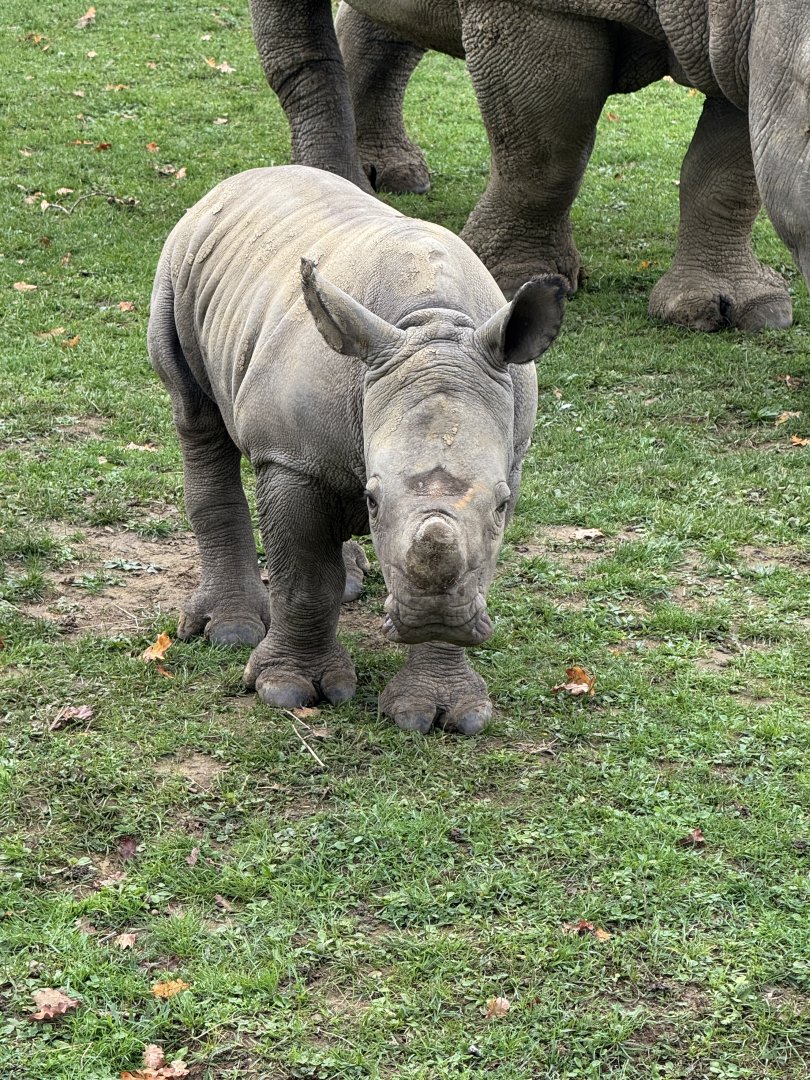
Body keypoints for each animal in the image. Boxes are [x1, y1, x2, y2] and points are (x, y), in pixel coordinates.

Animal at [148, 166, 566, 734]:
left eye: (502, 505)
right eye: (373, 499)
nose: (432, 616)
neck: (432, 325)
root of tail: (234, 182)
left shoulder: (512, 457)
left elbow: (476, 563)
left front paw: (443, 712)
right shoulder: (290, 458)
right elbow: (304, 576)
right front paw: (287, 690)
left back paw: (350, 581)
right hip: (180, 263)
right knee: (196, 417)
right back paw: (230, 632)